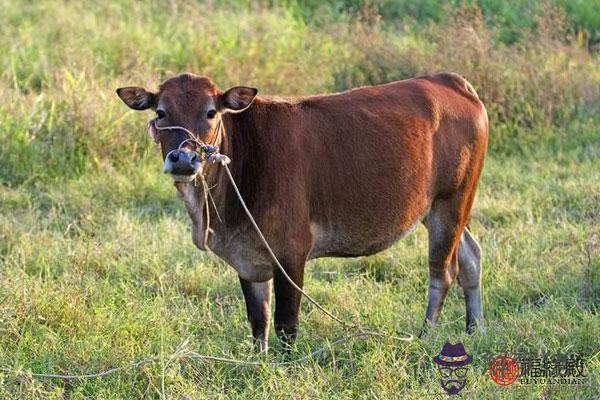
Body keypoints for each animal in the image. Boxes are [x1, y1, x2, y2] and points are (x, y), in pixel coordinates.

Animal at [116, 72, 488, 350]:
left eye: (211, 112)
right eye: (160, 112)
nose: (183, 158)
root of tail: (451, 81)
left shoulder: (291, 252)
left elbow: (285, 324)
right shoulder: (249, 257)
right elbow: (259, 321)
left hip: (451, 203)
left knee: (443, 272)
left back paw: (426, 335)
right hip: (440, 209)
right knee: (471, 256)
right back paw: (475, 329)